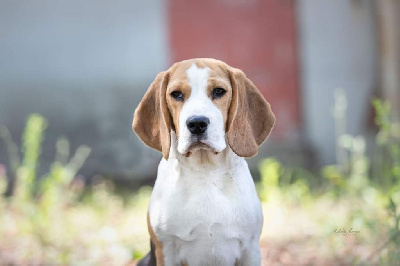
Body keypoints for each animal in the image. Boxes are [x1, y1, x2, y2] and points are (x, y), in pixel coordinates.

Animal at [134, 58, 276, 266]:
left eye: (218, 91)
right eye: (176, 94)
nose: (197, 123)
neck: (206, 173)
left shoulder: (250, 249)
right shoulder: (166, 251)